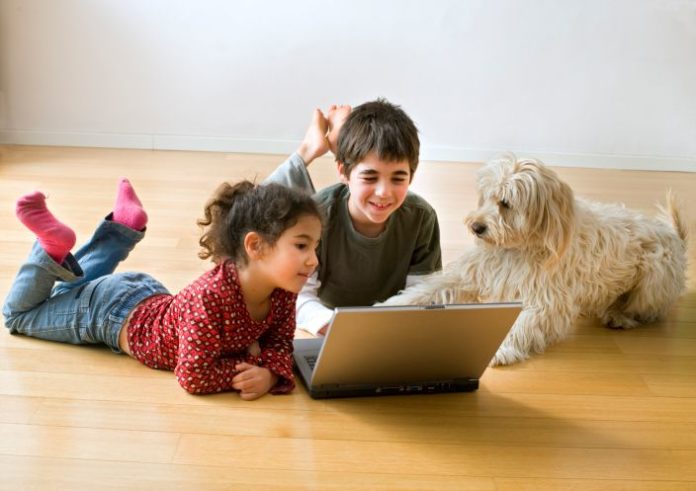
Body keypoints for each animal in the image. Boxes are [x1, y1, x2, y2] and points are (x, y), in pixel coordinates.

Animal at [384, 154, 688, 366]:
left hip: (654, 278)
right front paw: (389, 307)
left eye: (506, 203)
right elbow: (426, 291)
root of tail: (675, 236)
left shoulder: (546, 300)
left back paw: (619, 315)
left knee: (650, 309)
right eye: (487, 196)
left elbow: (521, 324)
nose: (476, 226)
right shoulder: (469, 274)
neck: (520, 247)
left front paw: (500, 348)